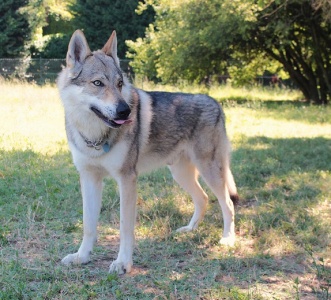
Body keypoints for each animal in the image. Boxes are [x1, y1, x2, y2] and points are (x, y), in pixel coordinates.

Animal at [57, 29, 239, 274]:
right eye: (98, 83)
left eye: (119, 83)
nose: (125, 111)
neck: (94, 136)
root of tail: (216, 103)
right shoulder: (89, 178)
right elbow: (88, 225)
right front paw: (81, 257)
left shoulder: (127, 179)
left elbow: (125, 227)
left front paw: (123, 263)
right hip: (181, 174)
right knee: (202, 198)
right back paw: (189, 230)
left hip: (210, 171)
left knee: (227, 203)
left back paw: (228, 239)